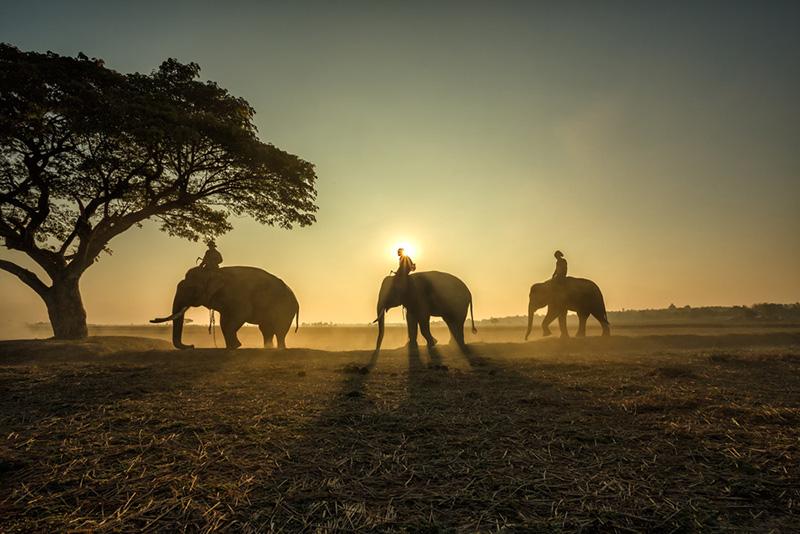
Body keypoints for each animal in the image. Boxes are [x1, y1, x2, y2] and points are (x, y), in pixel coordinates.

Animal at [152, 268, 298, 352]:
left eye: (191, 289)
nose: (192, 345)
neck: (213, 273)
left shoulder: (238, 295)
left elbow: (240, 315)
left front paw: (236, 346)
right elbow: (225, 320)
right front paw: (232, 347)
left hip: (285, 307)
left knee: (279, 328)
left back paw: (280, 349)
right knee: (266, 328)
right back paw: (268, 348)